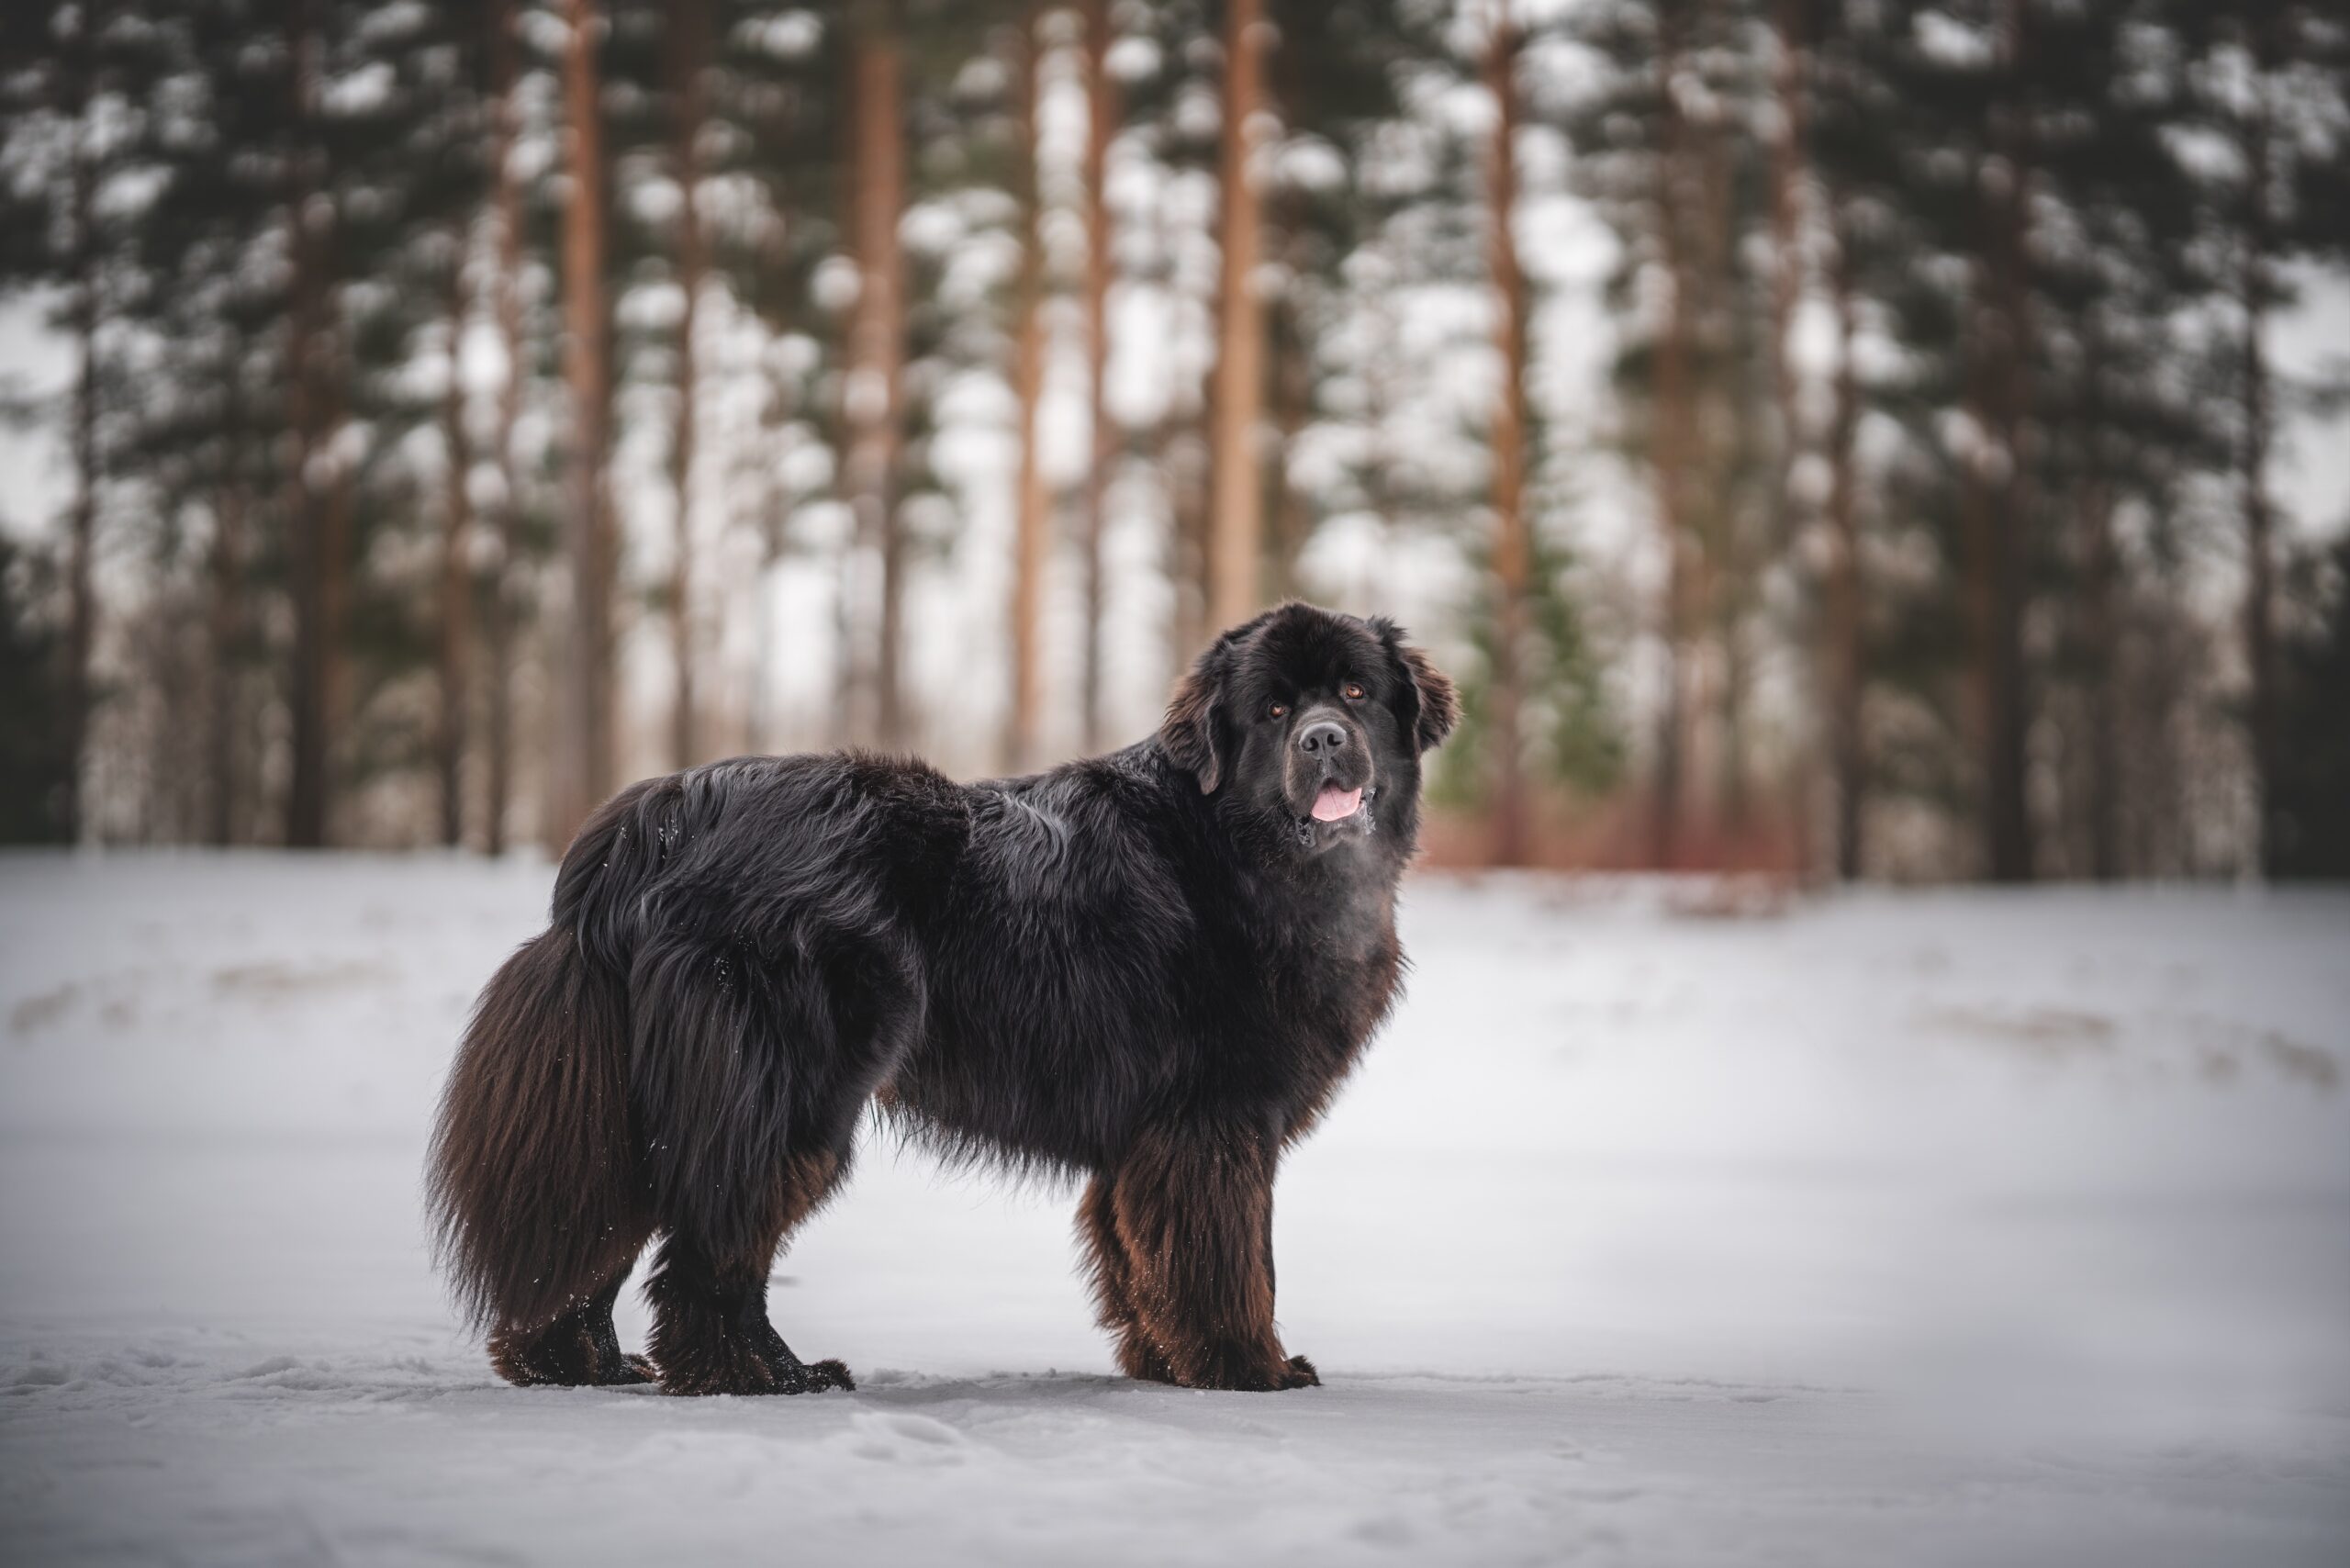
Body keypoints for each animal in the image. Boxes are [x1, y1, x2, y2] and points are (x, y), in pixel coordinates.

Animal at [422, 606, 1447, 1401]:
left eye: (1356, 694)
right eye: (1273, 710)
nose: (1322, 738)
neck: (1239, 848)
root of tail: (660, 815)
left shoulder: (1143, 1141)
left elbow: (1140, 1260)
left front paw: (1165, 1365)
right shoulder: (1214, 1123)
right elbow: (1231, 1261)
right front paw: (1250, 1369)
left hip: (644, 1096)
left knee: (605, 1227)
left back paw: (577, 1365)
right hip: (791, 1092)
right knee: (714, 1253)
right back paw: (762, 1377)